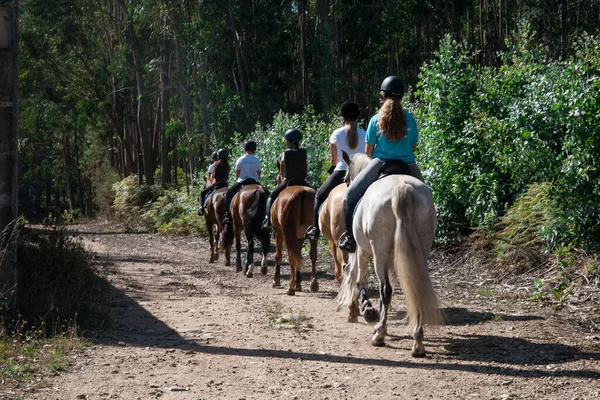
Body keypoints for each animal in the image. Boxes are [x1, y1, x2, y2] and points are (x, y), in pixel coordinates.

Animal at [338, 152, 440, 356]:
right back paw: (417, 341)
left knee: (385, 289)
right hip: (419, 250)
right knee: (416, 286)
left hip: (379, 250)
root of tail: (402, 187)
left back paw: (380, 335)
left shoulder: (362, 251)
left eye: (345, 179)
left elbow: (361, 280)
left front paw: (368, 310)